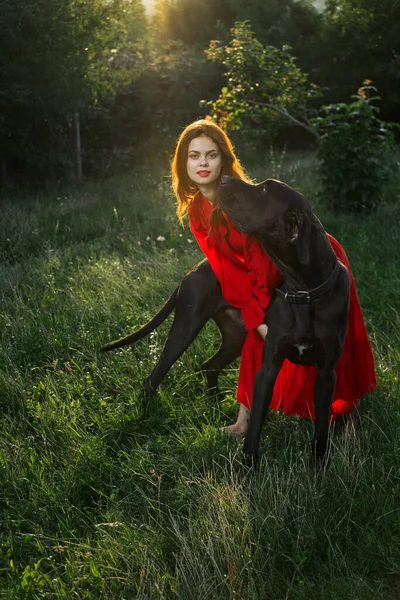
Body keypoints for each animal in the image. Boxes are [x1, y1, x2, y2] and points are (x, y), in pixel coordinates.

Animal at [219, 176, 350, 466]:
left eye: (263, 190)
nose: (223, 178)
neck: (304, 292)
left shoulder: (327, 373)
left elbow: (321, 428)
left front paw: (318, 465)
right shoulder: (268, 367)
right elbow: (256, 422)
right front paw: (248, 466)